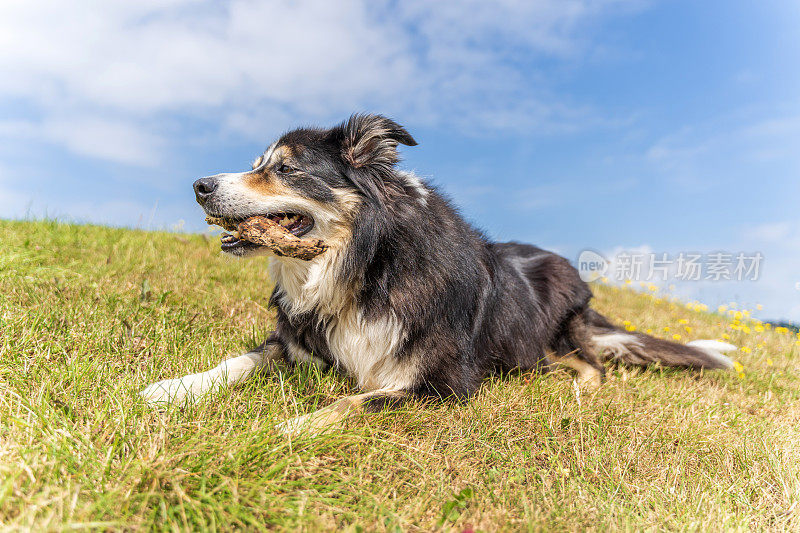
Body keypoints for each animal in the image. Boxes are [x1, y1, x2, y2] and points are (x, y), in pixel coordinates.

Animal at [142, 113, 736, 432]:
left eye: (285, 169)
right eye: (257, 165)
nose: (199, 185)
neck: (366, 267)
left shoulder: (442, 382)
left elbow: (355, 399)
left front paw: (287, 428)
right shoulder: (296, 342)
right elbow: (236, 361)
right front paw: (171, 390)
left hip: (557, 331)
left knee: (591, 368)